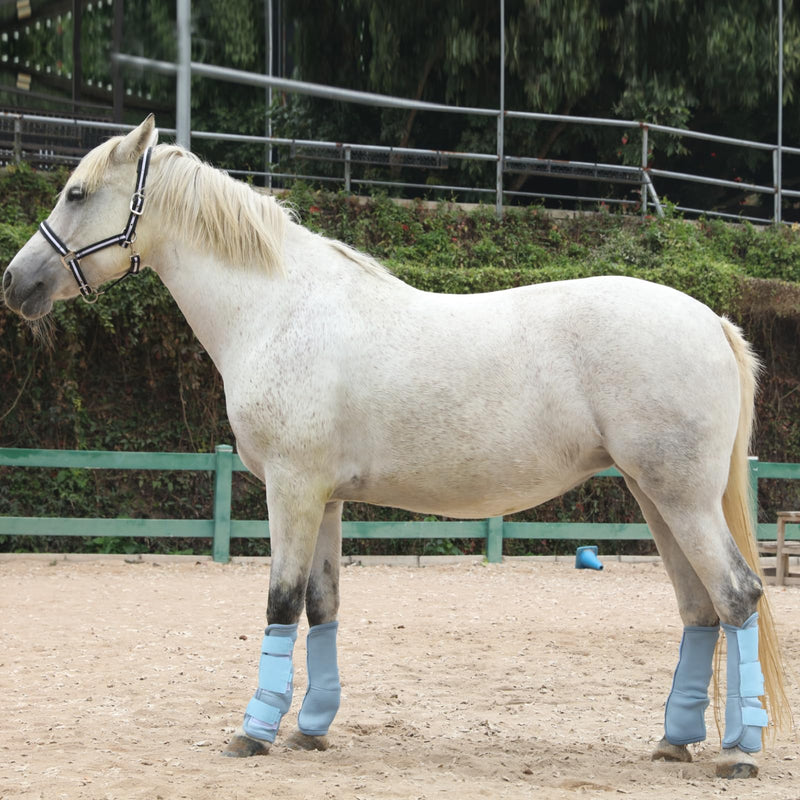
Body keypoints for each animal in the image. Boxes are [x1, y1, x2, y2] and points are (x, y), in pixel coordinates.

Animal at [2, 116, 789, 779]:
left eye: (76, 193)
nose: (15, 281)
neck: (277, 309)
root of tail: (712, 320)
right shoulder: (323, 499)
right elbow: (322, 605)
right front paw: (311, 729)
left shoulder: (290, 488)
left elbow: (280, 601)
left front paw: (254, 733)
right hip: (654, 496)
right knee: (699, 608)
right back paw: (674, 741)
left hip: (680, 499)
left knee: (737, 595)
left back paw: (739, 752)